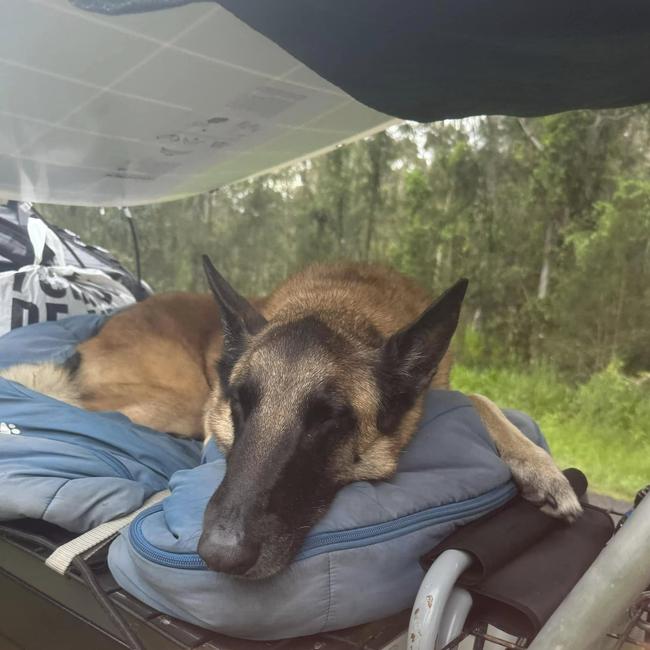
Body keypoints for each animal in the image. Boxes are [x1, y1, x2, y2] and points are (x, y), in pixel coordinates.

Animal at [0, 258, 576, 576]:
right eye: (241, 402)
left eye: (329, 418)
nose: (219, 555)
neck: (342, 306)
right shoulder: (210, 411)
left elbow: (479, 399)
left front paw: (541, 467)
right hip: (175, 402)